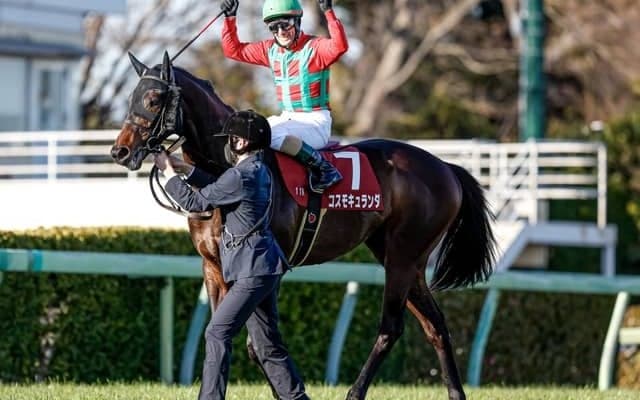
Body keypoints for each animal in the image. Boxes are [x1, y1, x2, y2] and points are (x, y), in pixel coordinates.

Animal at [111, 52, 496, 400]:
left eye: (152, 99)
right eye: (130, 99)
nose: (119, 151)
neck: (223, 167)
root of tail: (447, 168)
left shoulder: (270, 269)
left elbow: (258, 346)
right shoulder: (214, 266)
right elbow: (222, 335)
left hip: (402, 258)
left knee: (391, 327)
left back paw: (355, 393)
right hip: (404, 259)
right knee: (435, 325)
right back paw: (455, 393)